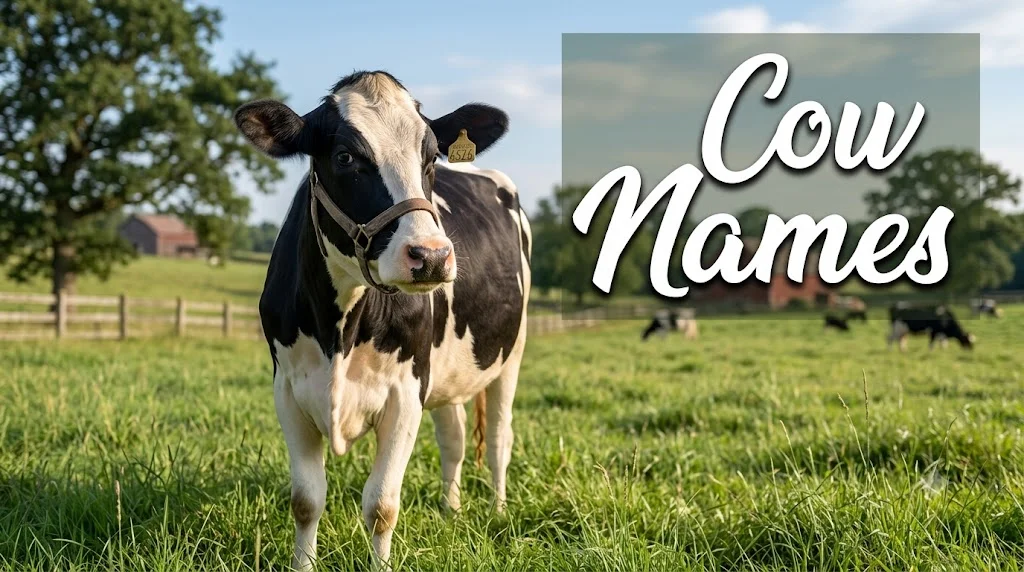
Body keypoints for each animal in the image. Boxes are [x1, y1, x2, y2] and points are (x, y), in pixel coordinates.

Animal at [234, 71, 531, 571]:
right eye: (345, 156)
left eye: (430, 157)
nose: (431, 256)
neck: (338, 330)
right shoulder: (288, 391)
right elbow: (306, 500)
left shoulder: (406, 391)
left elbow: (381, 506)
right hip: (446, 368)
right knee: (453, 438)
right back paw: (451, 510)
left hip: (511, 356)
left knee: (499, 439)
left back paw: (498, 510)